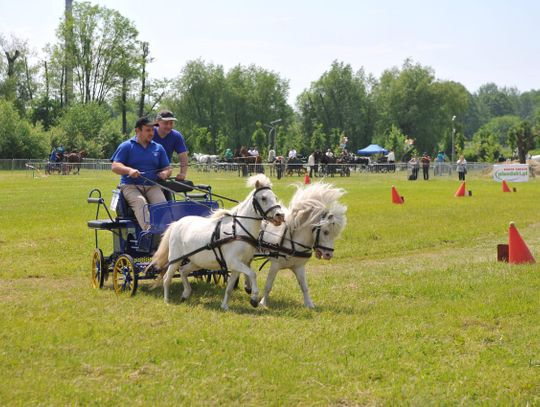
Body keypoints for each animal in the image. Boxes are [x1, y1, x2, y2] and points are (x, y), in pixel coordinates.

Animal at [148, 174, 282, 310]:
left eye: (275, 197)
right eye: (263, 198)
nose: (279, 216)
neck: (238, 230)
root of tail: (176, 223)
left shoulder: (237, 266)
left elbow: (229, 287)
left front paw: (225, 306)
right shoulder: (234, 262)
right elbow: (253, 274)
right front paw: (254, 298)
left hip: (196, 261)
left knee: (183, 271)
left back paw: (186, 293)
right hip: (175, 259)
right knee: (167, 278)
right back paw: (167, 300)